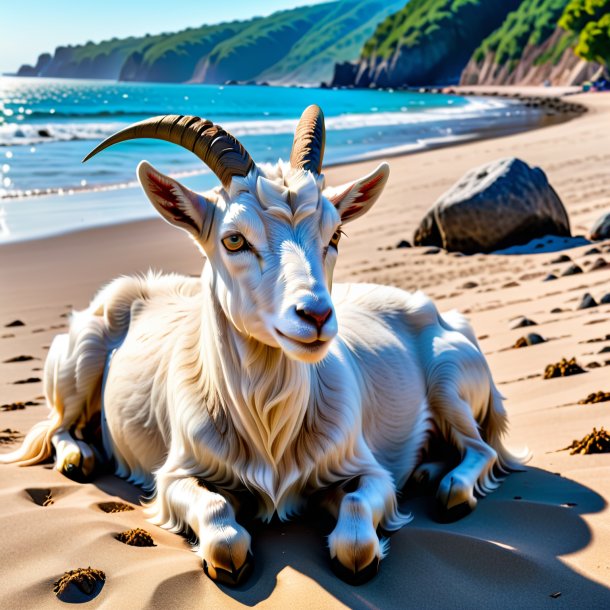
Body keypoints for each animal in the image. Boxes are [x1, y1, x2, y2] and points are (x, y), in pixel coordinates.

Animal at [2, 105, 520, 584]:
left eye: (335, 233)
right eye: (234, 239)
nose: (315, 315)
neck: (268, 429)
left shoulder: (363, 465)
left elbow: (356, 526)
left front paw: (363, 554)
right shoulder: (175, 475)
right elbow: (221, 527)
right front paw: (229, 560)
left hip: (449, 375)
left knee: (482, 448)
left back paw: (446, 485)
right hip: (79, 359)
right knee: (58, 424)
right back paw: (79, 458)